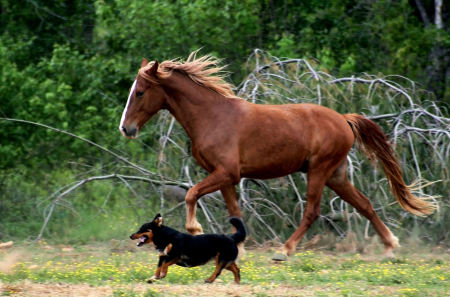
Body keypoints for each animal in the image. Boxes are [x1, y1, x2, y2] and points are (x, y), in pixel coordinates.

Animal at [118, 51, 434, 260]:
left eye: (141, 92)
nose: (126, 128)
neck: (212, 117)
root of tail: (344, 120)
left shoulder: (225, 172)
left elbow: (192, 194)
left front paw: (195, 230)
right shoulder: (227, 177)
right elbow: (234, 211)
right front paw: (239, 247)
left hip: (319, 171)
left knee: (312, 211)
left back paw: (284, 250)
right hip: (336, 175)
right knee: (365, 204)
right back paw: (390, 246)